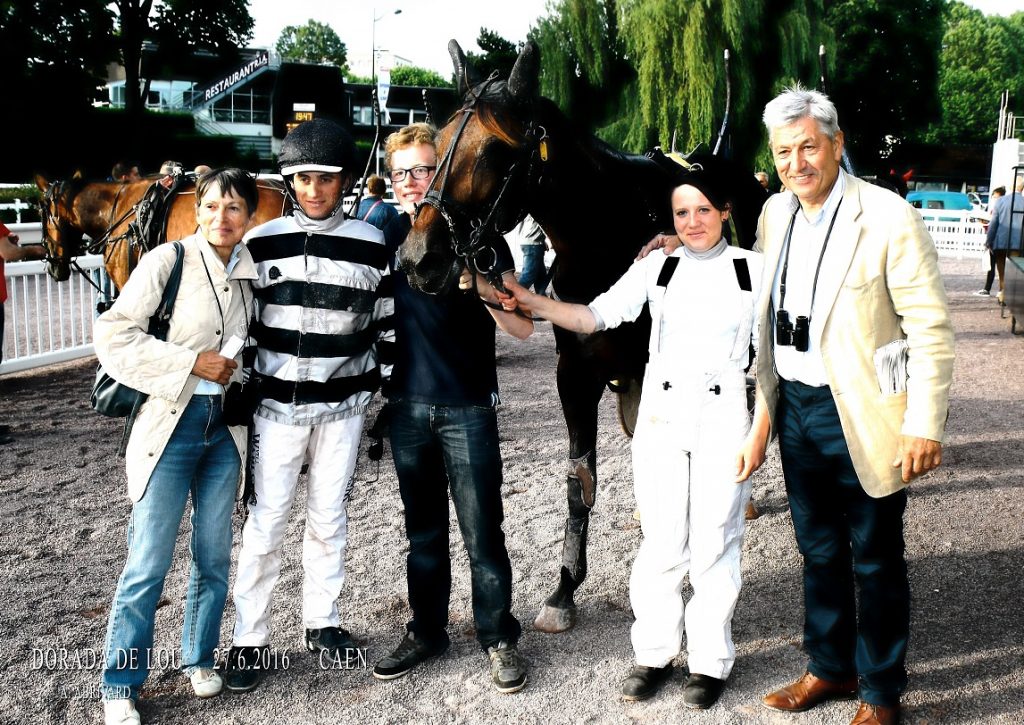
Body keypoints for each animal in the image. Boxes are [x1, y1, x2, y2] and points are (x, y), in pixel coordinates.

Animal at [399, 39, 770, 630]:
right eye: (435, 145)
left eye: (495, 151)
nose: (419, 258)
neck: (605, 233)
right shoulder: (575, 374)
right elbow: (582, 478)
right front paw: (564, 588)